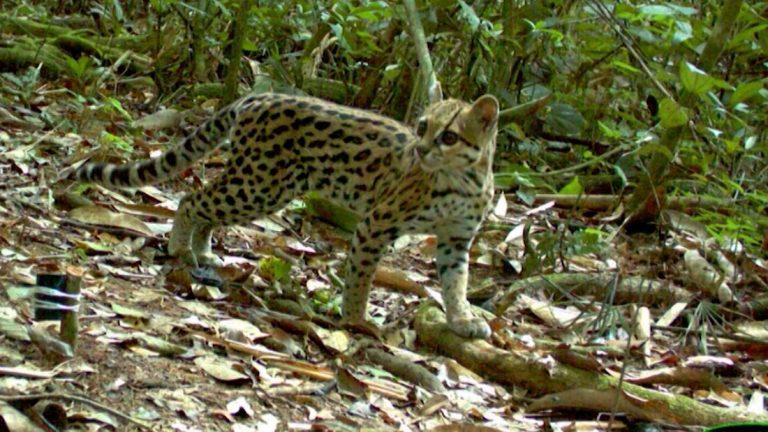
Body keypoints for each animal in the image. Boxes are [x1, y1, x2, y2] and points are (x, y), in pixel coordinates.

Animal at [78, 91, 498, 340]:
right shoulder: (377, 224)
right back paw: (181, 249)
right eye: (423, 126)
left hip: (257, 185)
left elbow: (456, 283)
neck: (463, 180)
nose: (421, 149)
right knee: (191, 198)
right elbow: (361, 276)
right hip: (260, 185)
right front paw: (356, 319)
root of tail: (259, 95)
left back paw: (204, 251)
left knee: (204, 203)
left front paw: (461, 319)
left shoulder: (457, 239)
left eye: (448, 136)